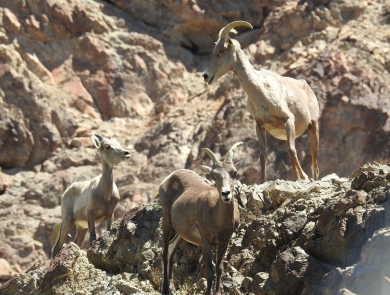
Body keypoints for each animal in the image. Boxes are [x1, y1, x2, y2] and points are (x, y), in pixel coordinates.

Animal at [158, 142, 244, 294]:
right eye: (214, 175)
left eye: (234, 173)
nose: (226, 193)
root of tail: (169, 177)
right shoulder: (206, 242)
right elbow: (209, 271)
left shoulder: (224, 242)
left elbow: (219, 269)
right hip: (167, 222)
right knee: (164, 252)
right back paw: (165, 289)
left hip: (182, 234)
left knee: (171, 250)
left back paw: (172, 287)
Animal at [201, 20, 320, 183]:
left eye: (222, 50)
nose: (205, 76)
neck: (260, 92)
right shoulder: (260, 126)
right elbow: (263, 155)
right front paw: (263, 181)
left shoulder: (288, 119)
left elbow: (291, 150)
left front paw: (304, 176)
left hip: (313, 125)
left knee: (314, 162)